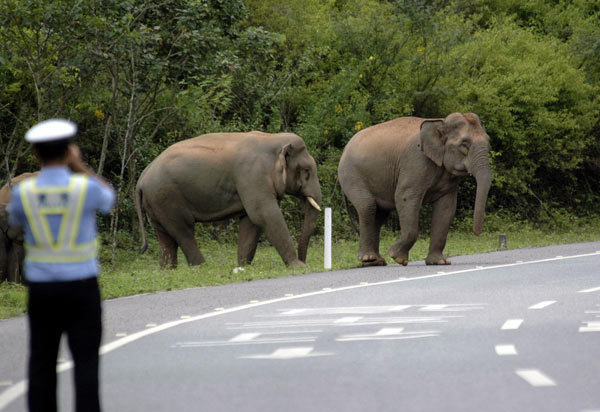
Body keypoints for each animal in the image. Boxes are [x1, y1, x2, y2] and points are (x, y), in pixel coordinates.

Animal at [136, 130, 324, 268]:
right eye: (307, 170)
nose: (304, 260)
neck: (272, 138)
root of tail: (141, 179)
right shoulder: (253, 177)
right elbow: (265, 215)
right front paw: (298, 267)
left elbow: (251, 221)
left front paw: (243, 266)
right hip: (166, 198)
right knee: (184, 231)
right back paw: (202, 267)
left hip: (156, 203)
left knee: (165, 237)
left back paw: (169, 270)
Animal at [338, 112, 492, 268]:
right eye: (464, 144)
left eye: (489, 143)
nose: (476, 233)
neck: (440, 122)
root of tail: (344, 149)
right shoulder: (415, 161)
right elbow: (404, 197)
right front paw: (398, 258)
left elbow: (446, 208)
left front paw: (440, 262)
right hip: (351, 175)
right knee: (367, 207)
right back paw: (369, 258)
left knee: (379, 214)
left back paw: (376, 261)